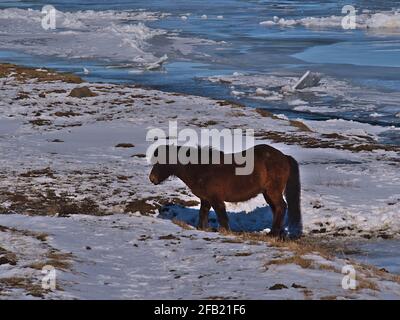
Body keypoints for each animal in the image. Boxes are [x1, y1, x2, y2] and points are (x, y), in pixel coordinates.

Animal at [150, 144, 304, 238]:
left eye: (161, 161)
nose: (152, 178)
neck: (201, 168)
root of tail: (284, 157)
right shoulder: (206, 199)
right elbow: (203, 214)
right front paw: (203, 229)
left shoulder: (216, 199)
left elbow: (222, 216)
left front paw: (225, 232)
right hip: (268, 193)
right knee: (277, 209)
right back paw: (278, 233)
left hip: (272, 191)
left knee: (281, 207)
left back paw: (273, 234)